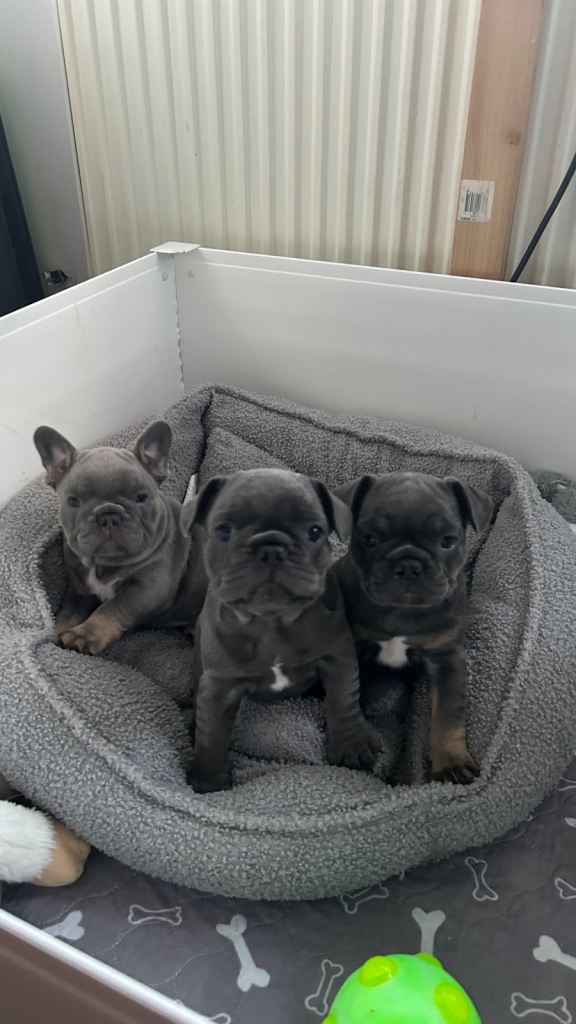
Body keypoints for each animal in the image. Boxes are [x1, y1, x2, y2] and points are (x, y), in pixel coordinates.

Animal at [34, 421, 199, 655]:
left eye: (141, 497)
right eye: (73, 501)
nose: (108, 515)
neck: (104, 563)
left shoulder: (148, 587)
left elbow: (111, 609)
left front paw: (83, 634)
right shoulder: (79, 590)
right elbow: (68, 613)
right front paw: (58, 634)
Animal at [181, 468, 382, 793]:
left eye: (314, 532)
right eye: (224, 531)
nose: (271, 547)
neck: (271, 622)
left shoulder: (338, 660)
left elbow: (343, 703)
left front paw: (351, 747)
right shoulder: (219, 685)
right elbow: (212, 735)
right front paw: (208, 781)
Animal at [335, 472, 493, 785]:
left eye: (447, 541)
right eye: (371, 539)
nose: (409, 565)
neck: (402, 611)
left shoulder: (446, 660)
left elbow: (447, 715)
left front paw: (451, 763)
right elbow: (346, 694)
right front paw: (353, 742)